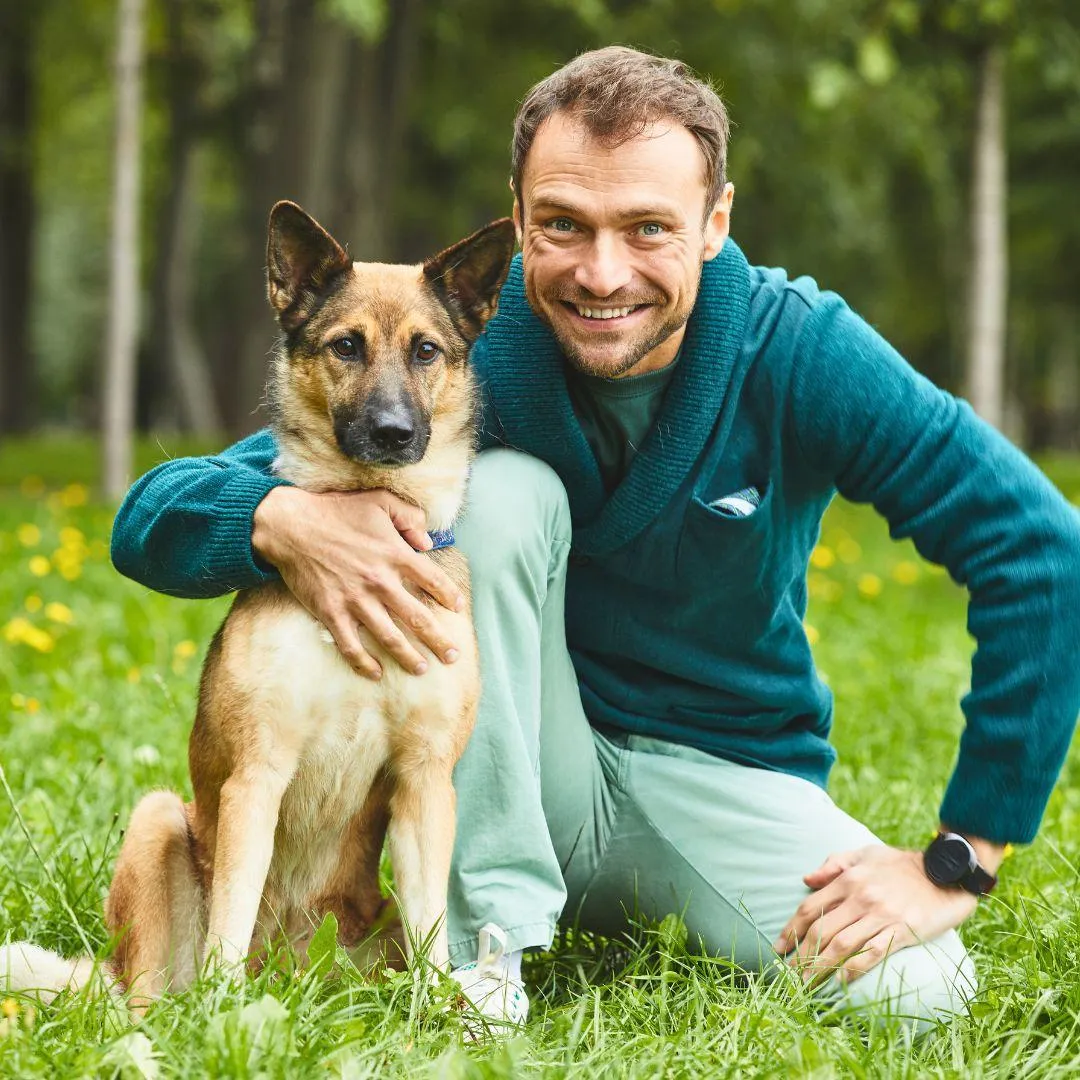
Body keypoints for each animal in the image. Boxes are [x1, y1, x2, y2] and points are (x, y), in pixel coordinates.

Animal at [3, 198, 518, 1006]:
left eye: (427, 350)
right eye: (346, 345)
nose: (393, 432)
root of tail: (295, 970)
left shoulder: (425, 783)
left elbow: (436, 930)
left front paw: (443, 1016)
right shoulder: (257, 774)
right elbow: (234, 913)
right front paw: (225, 1013)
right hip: (157, 823)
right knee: (152, 990)